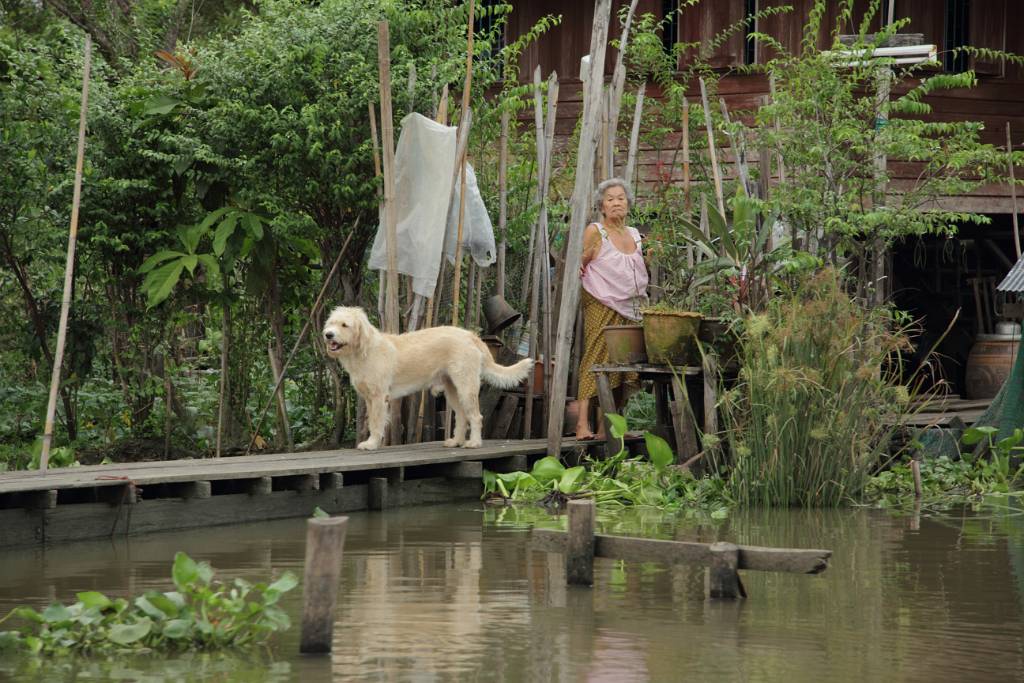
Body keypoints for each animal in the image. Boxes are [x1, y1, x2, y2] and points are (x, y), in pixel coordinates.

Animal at [323, 307, 532, 450]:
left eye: (344, 325)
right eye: (331, 323)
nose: (328, 335)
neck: (363, 350)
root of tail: (470, 335)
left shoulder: (378, 398)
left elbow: (375, 423)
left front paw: (371, 444)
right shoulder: (368, 398)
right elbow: (371, 422)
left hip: (466, 387)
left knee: (475, 416)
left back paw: (474, 443)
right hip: (452, 390)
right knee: (462, 416)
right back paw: (455, 442)